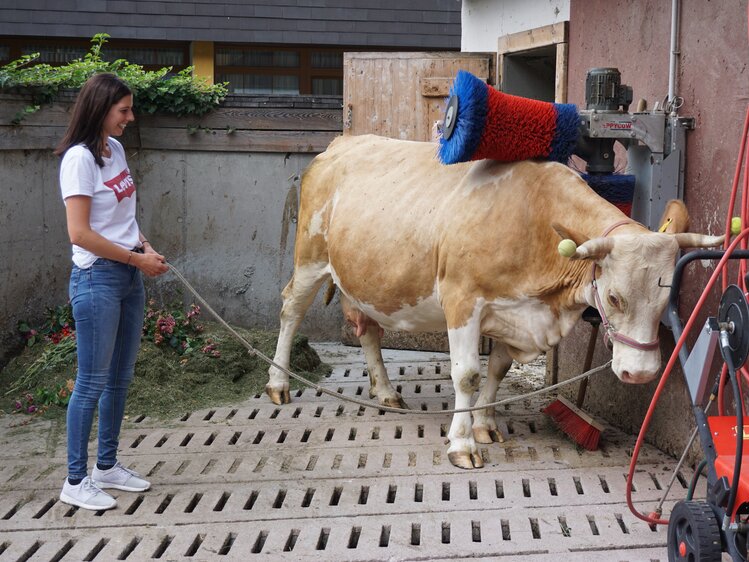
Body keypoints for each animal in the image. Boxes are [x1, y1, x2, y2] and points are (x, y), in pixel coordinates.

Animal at [266, 133, 720, 466]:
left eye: (669, 298)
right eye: (613, 297)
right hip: (310, 259)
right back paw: (278, 383)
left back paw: (386, 392)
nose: (640, 374)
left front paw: (484, 424)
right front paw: (462, 443)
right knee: (291, 310)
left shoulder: (514, 312)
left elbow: (498, 370)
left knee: (368, 331)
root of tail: (343, 141)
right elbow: (467, 375)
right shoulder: (462, 300)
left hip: (367, 276)